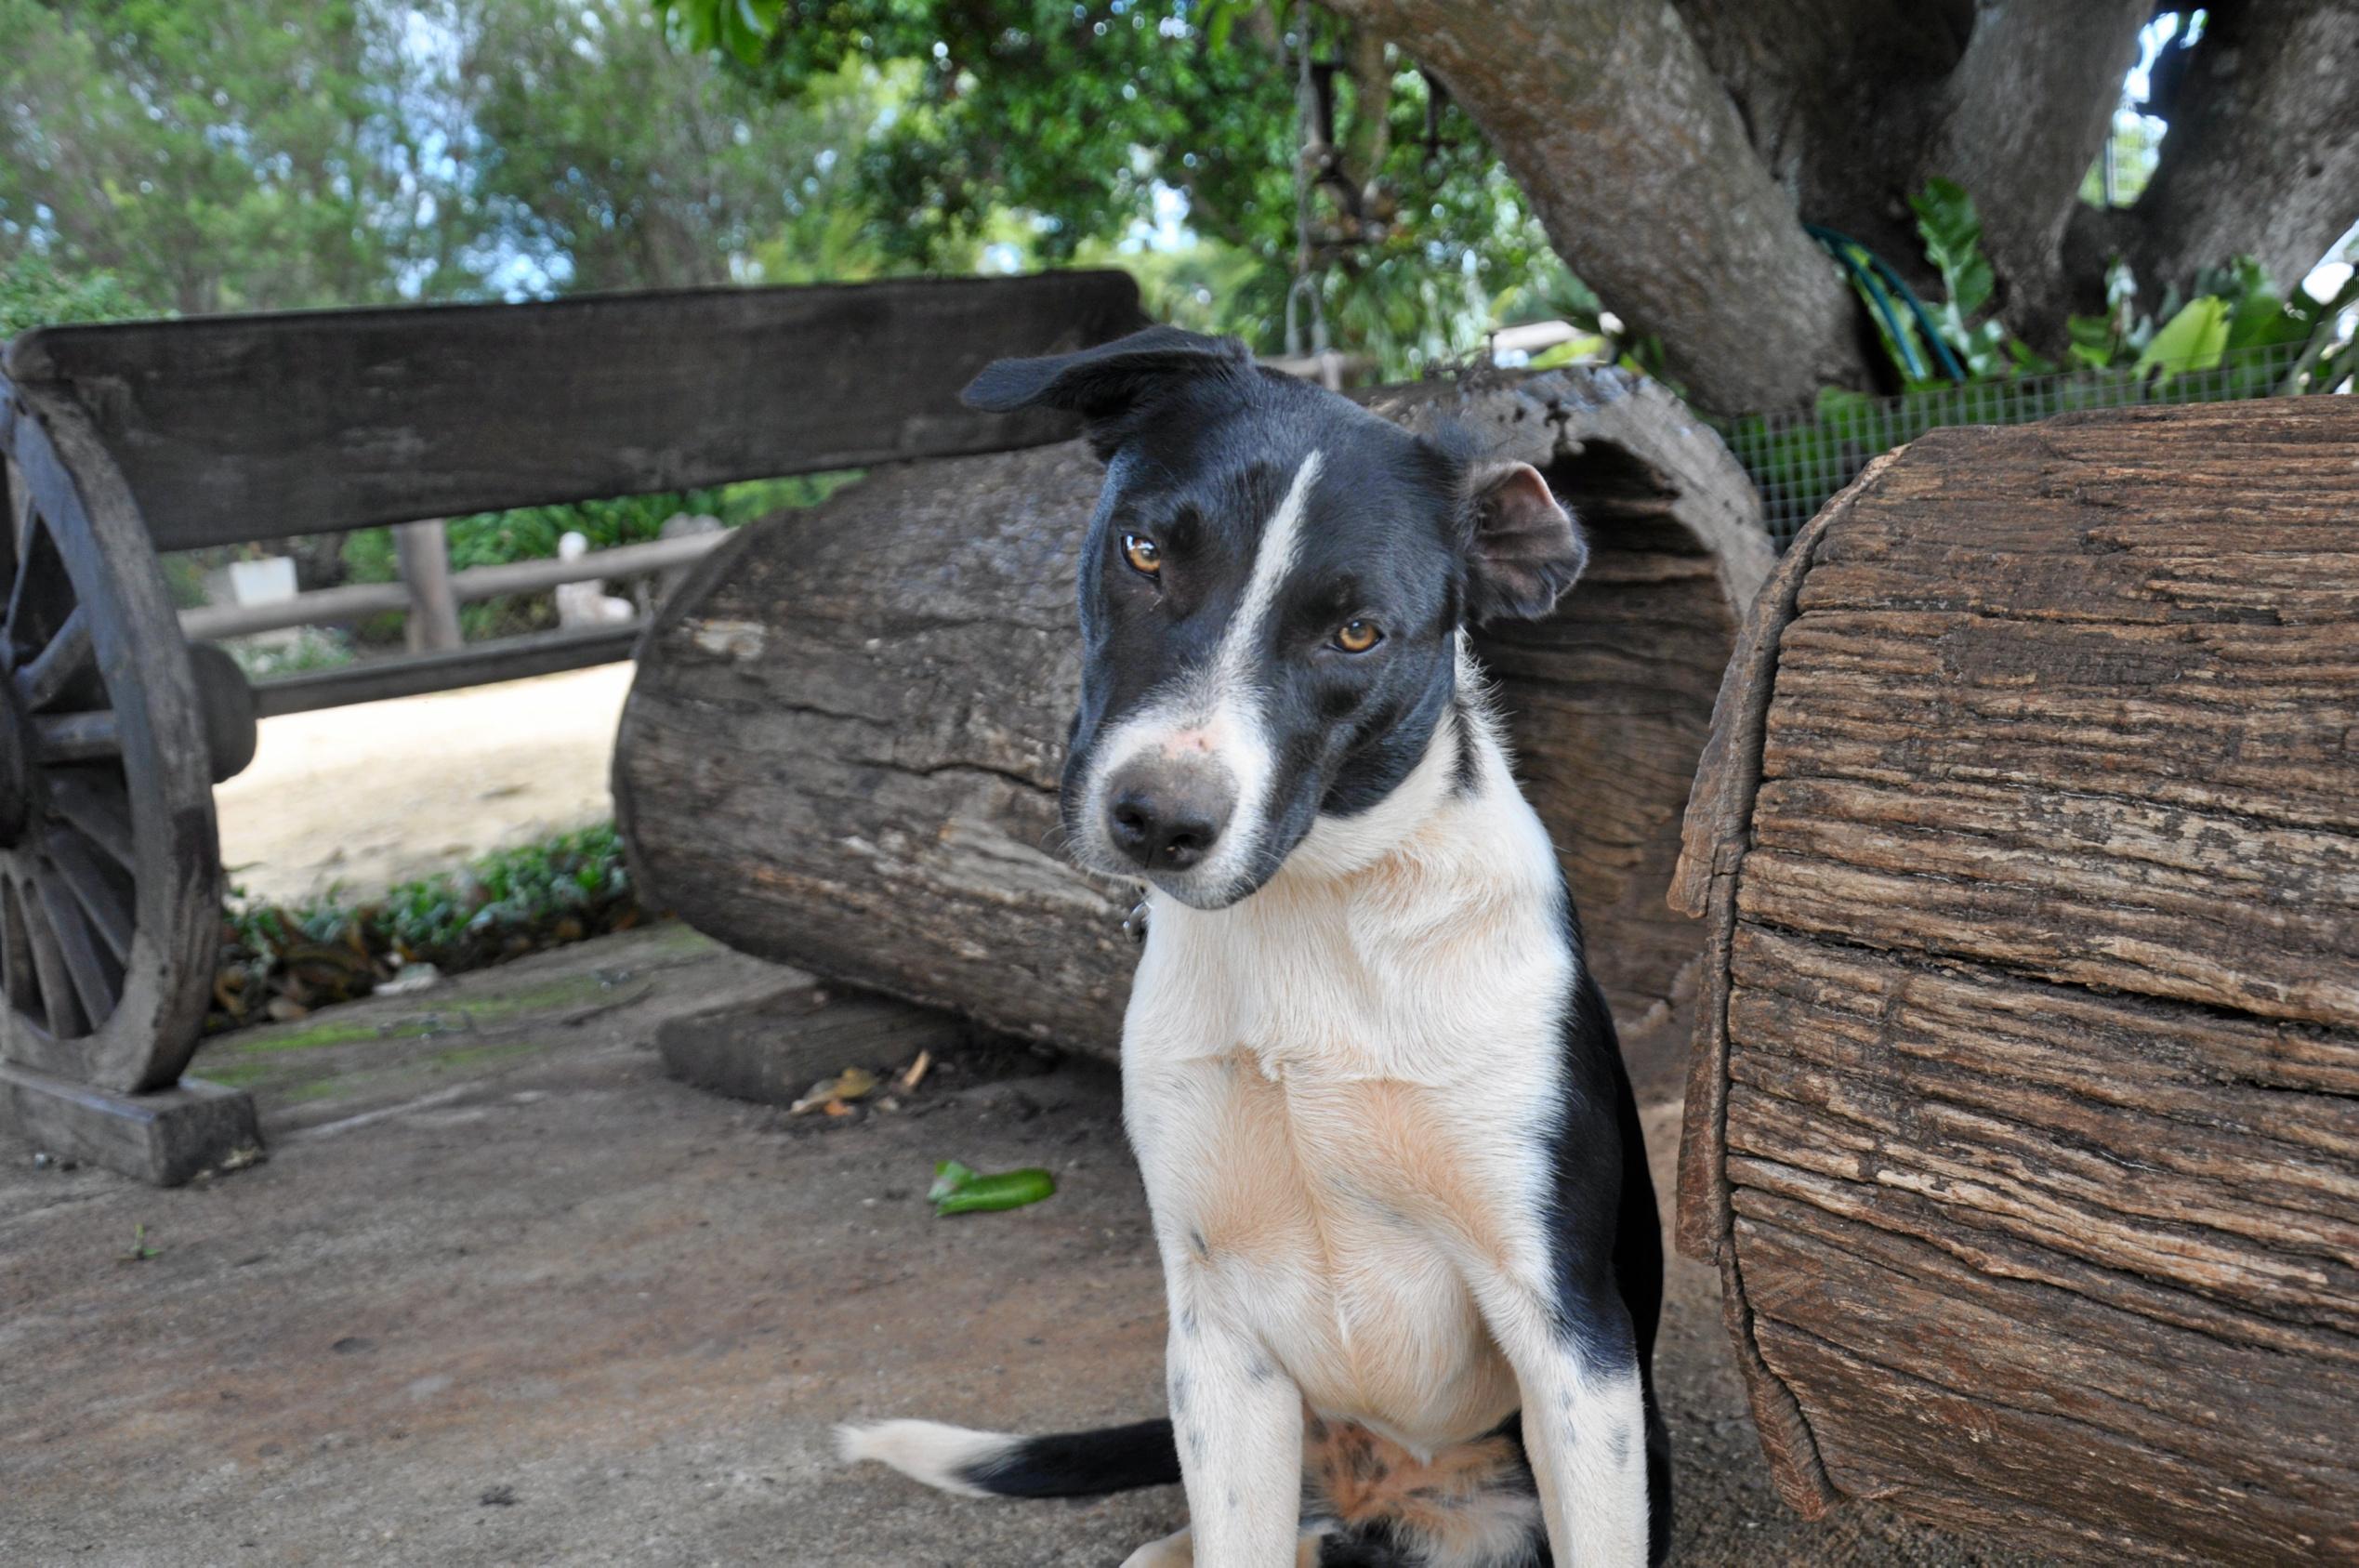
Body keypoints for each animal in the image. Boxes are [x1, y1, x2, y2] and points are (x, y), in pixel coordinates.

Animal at [839, 330, 1669, 1565]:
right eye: (1143, 550)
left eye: (1357, 631)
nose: (1159, 819)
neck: (1312, 911)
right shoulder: (1217, 1333)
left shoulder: (1573, 1339)